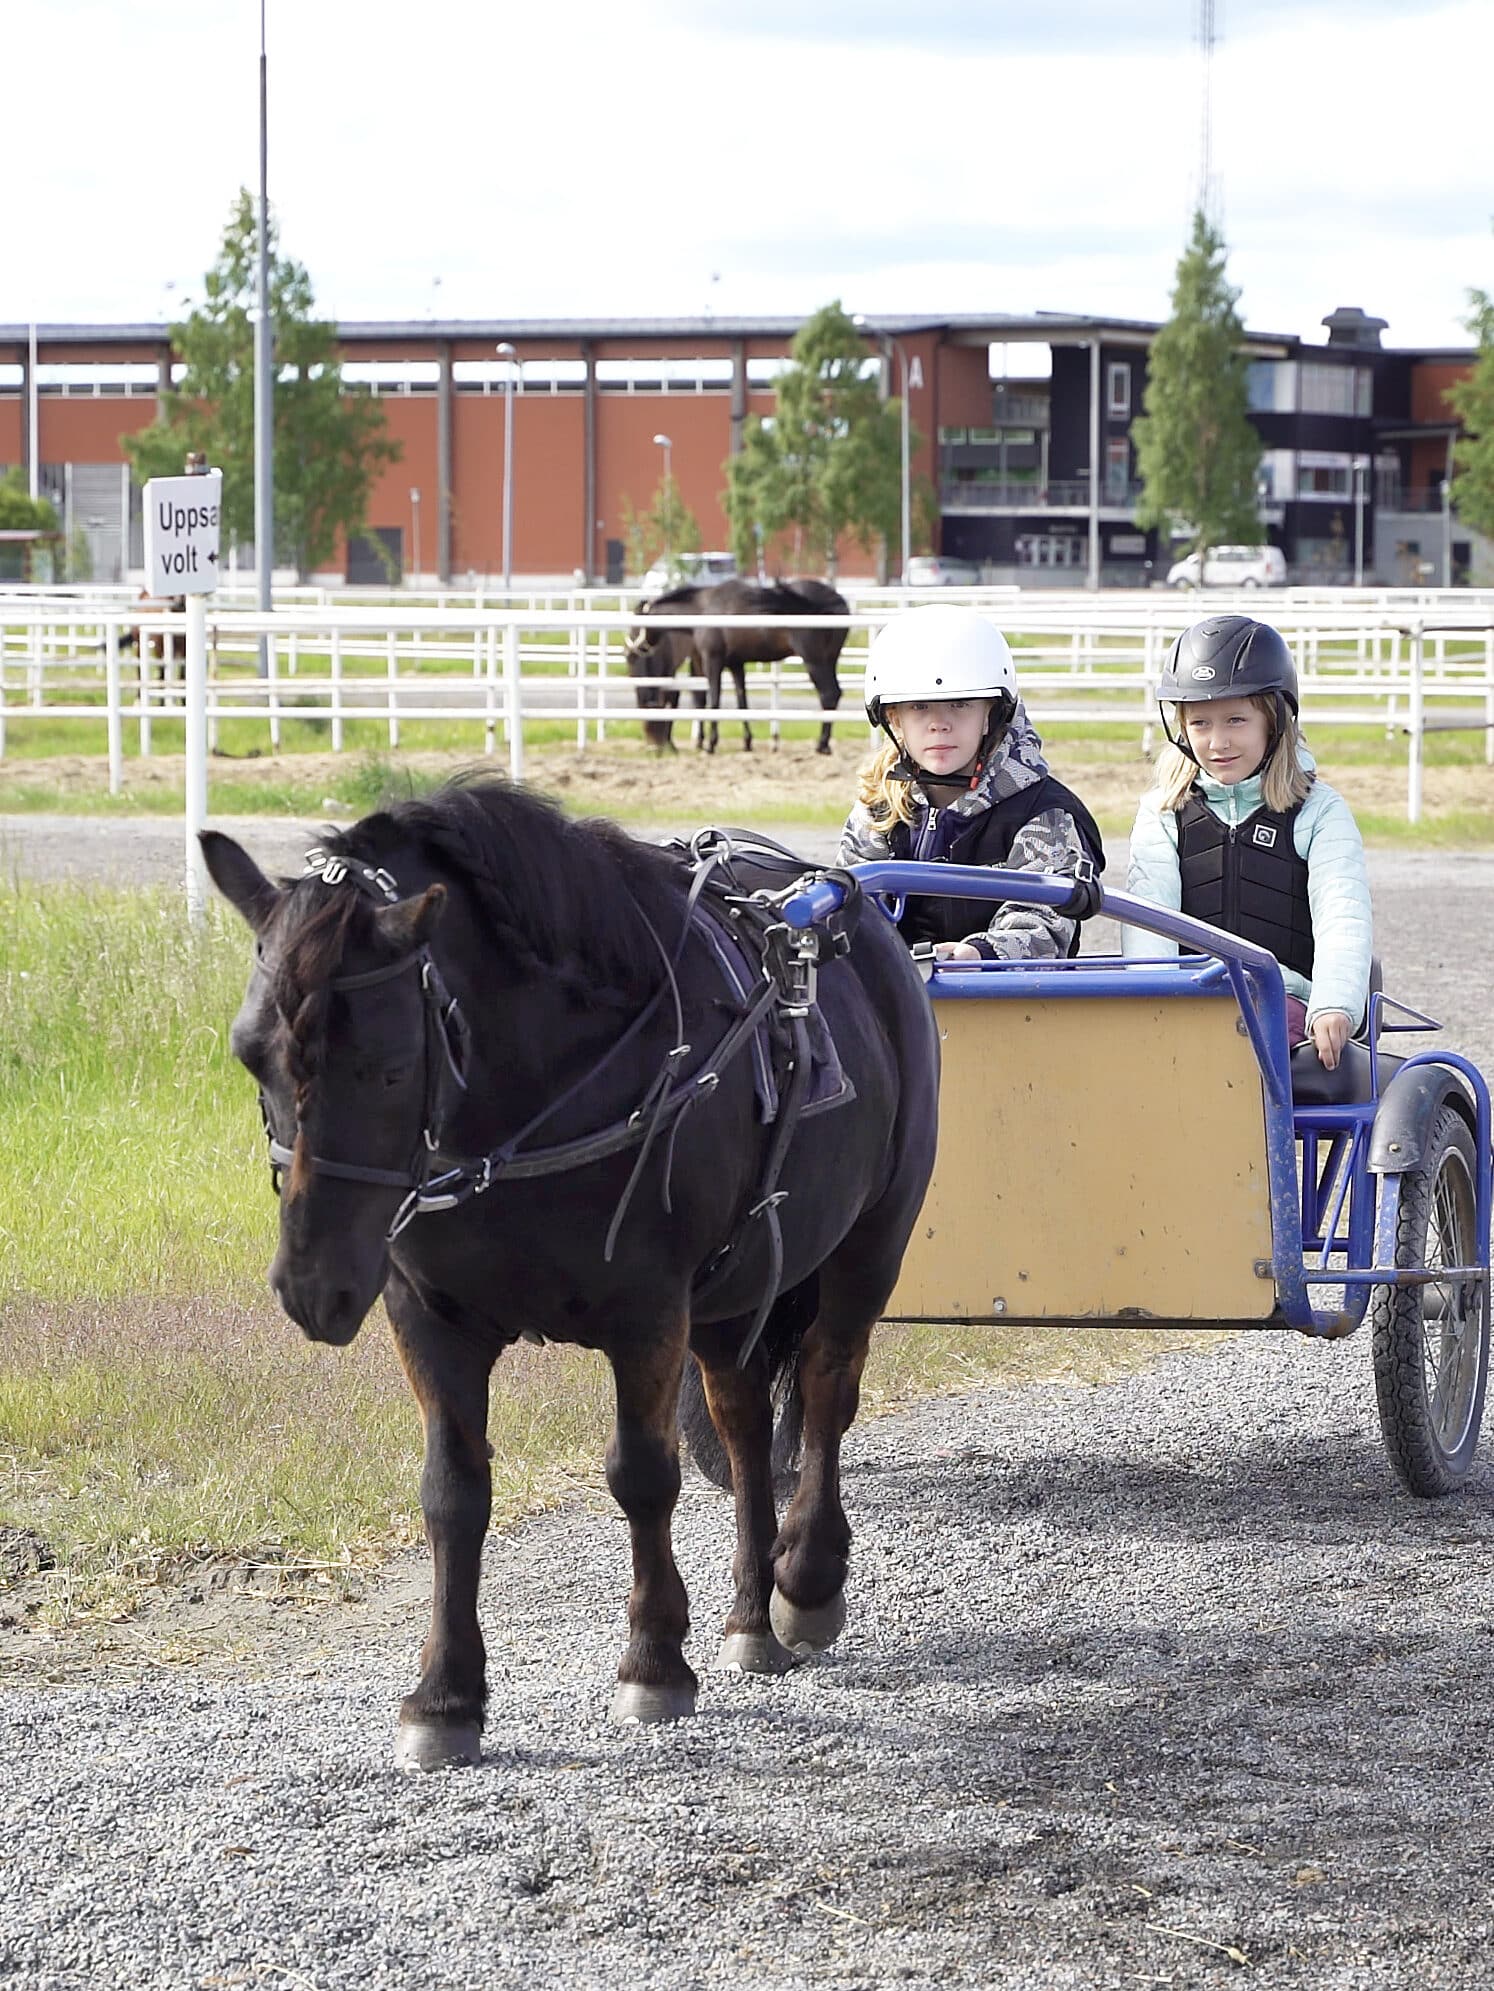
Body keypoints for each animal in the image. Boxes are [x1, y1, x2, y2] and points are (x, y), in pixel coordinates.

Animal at [205, 776, 940, 1775]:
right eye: (250, 1052)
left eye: (389, 1067)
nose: (312, 1287)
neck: (537, 1091)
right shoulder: (429, 1316)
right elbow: (453, 1493)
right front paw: (444, 1695)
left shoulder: (647, 1313)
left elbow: (643, 1475)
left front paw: (653, 1661)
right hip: (736, 1284)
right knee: (745, 1423)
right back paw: (752, 1614)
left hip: (870, 1242)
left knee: (827, 1386)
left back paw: (806, 1577)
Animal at [621, 581, 852, 760]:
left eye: (635, 626)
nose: (633, 650)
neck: (704, 609)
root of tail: (838, 602)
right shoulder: (736, 664)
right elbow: (742, 702)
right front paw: (747, 743)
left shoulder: (712, 661)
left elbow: (714, 701)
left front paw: (710, 745)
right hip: (829, 660)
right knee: (835, 694)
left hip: (815, 661)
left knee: (828, 694)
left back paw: (822, 745)